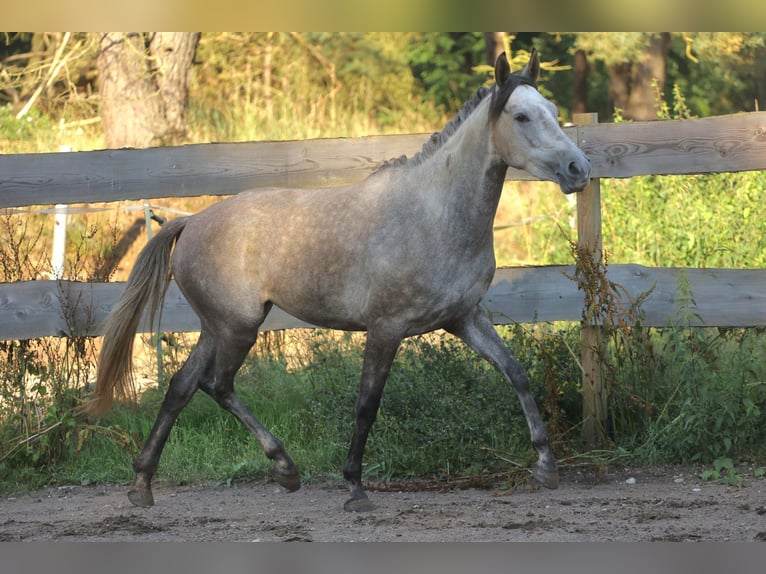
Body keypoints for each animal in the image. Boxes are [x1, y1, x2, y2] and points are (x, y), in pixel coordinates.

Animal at [90, 50, 592, 512]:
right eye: (521, 115)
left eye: (552, 109)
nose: (578, 169)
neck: (434, 214)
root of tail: (191, 221)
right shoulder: (386, 328)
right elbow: (367, 404)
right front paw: (355, 487)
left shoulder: (465, 318)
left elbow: (516, 374)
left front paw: (546, 466)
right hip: (237, 327)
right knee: (217, 385)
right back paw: (284, 469)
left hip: (218, 327)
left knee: (181, 387)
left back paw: (143, 485)